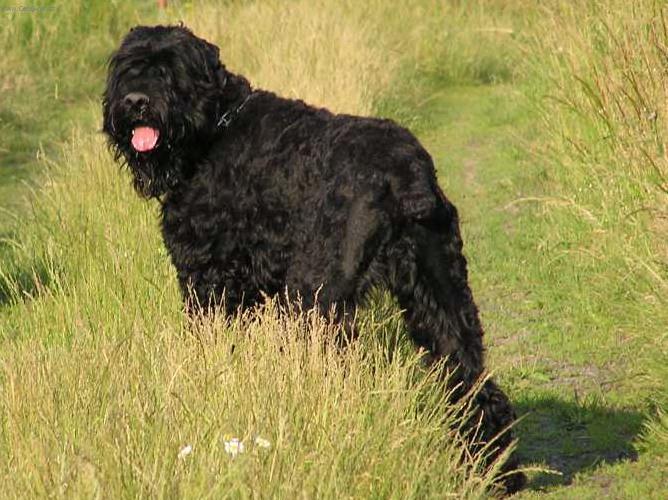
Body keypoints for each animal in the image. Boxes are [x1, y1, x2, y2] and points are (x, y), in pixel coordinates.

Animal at [102, 26, 524, 492]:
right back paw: (496, 471)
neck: (214, 130)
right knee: (471, 377)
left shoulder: (208, 282)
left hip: (314, 295)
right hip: (440, 293)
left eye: (170, 69)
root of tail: (407, 174)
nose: (136, 101)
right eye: (127, 68)